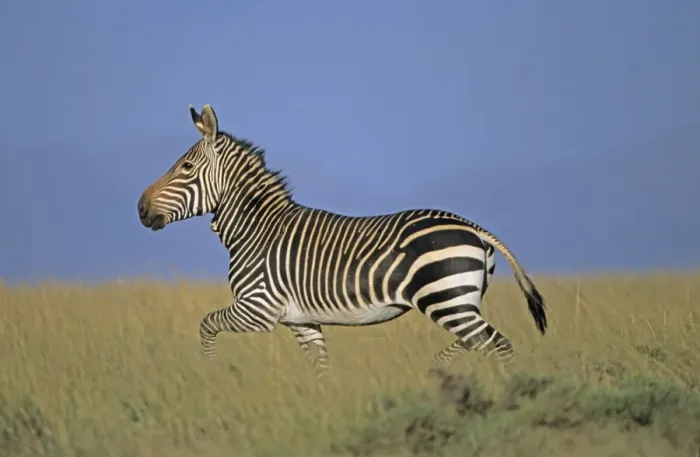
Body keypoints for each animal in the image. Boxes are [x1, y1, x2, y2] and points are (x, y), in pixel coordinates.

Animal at [137, 104, 547, 377]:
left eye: (186, 167)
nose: (141, 208)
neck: (257, 230)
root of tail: (472, 226)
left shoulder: (258, 308)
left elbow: (206, 324)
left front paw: (210, 372)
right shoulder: (301, 321)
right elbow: (321, 370)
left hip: (447, 300)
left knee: (499, 345)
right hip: (461, 301)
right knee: (477, 342)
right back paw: (434, 371)